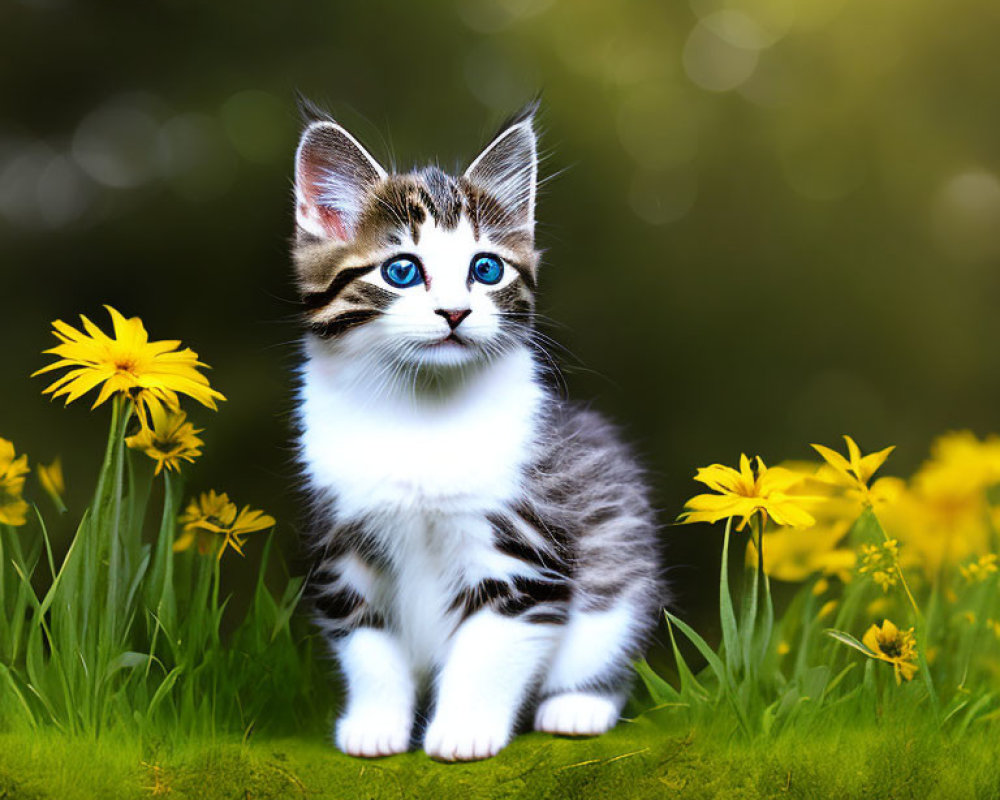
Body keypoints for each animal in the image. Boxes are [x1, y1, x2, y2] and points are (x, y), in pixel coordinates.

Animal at [290, 101, 664, 764]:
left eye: (485, 268)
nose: (455, 311)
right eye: (402, 271)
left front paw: (463, 730)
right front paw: (375, 724)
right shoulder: (341, 545)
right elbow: (368, 645)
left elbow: (491, 648)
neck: (417, 417)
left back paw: (578, 706)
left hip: (621, 566)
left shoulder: (524, 551)